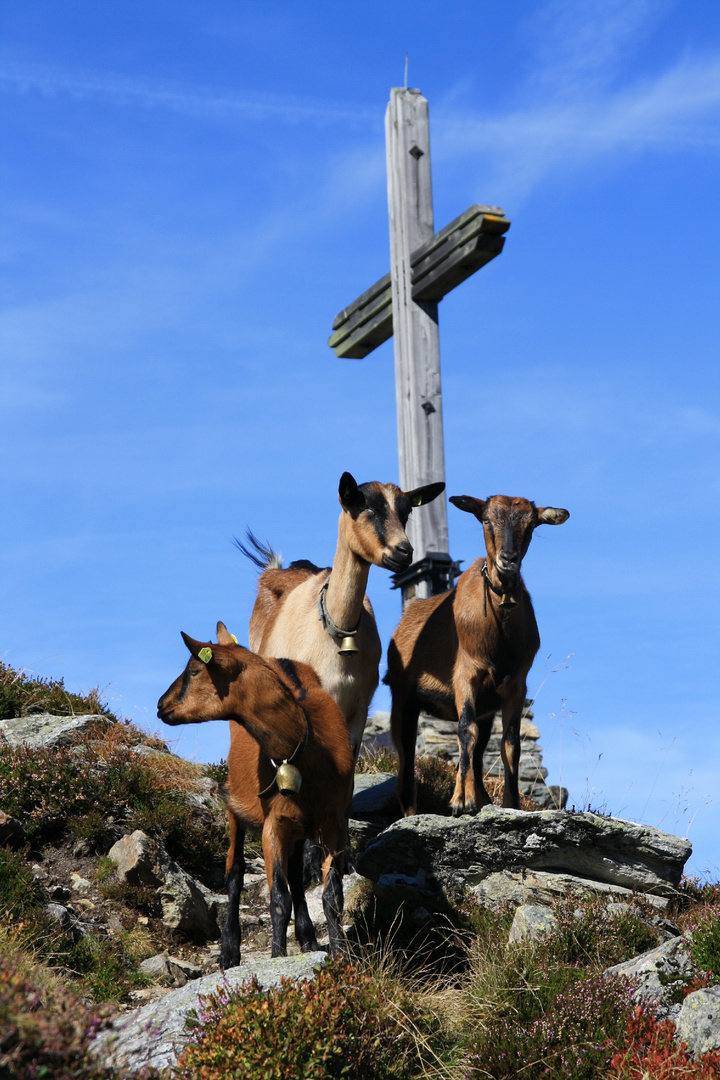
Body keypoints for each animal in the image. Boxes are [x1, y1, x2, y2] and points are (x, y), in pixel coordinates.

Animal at [156, 622, 354, 967]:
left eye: (194, 670)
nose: (160, 705)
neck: (308, 748)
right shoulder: (272, 822)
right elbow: (278, 898)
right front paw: (277, 957)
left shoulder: (335, 821)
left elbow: (332, 896)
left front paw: (341, 956)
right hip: (235, 804)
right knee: (234, 874)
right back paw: (229, 951)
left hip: (298, 827)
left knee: (295, 874)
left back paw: (307, 939)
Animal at [386, 494, 569, 812]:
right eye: (485, 519)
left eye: (531, 523)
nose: (508, 559)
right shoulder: (465, 673)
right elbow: (464, 730)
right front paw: (460, 800)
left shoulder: (516, 683)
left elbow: (511, 743)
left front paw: (511, 804)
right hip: (403, 699)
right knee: (406, 769)